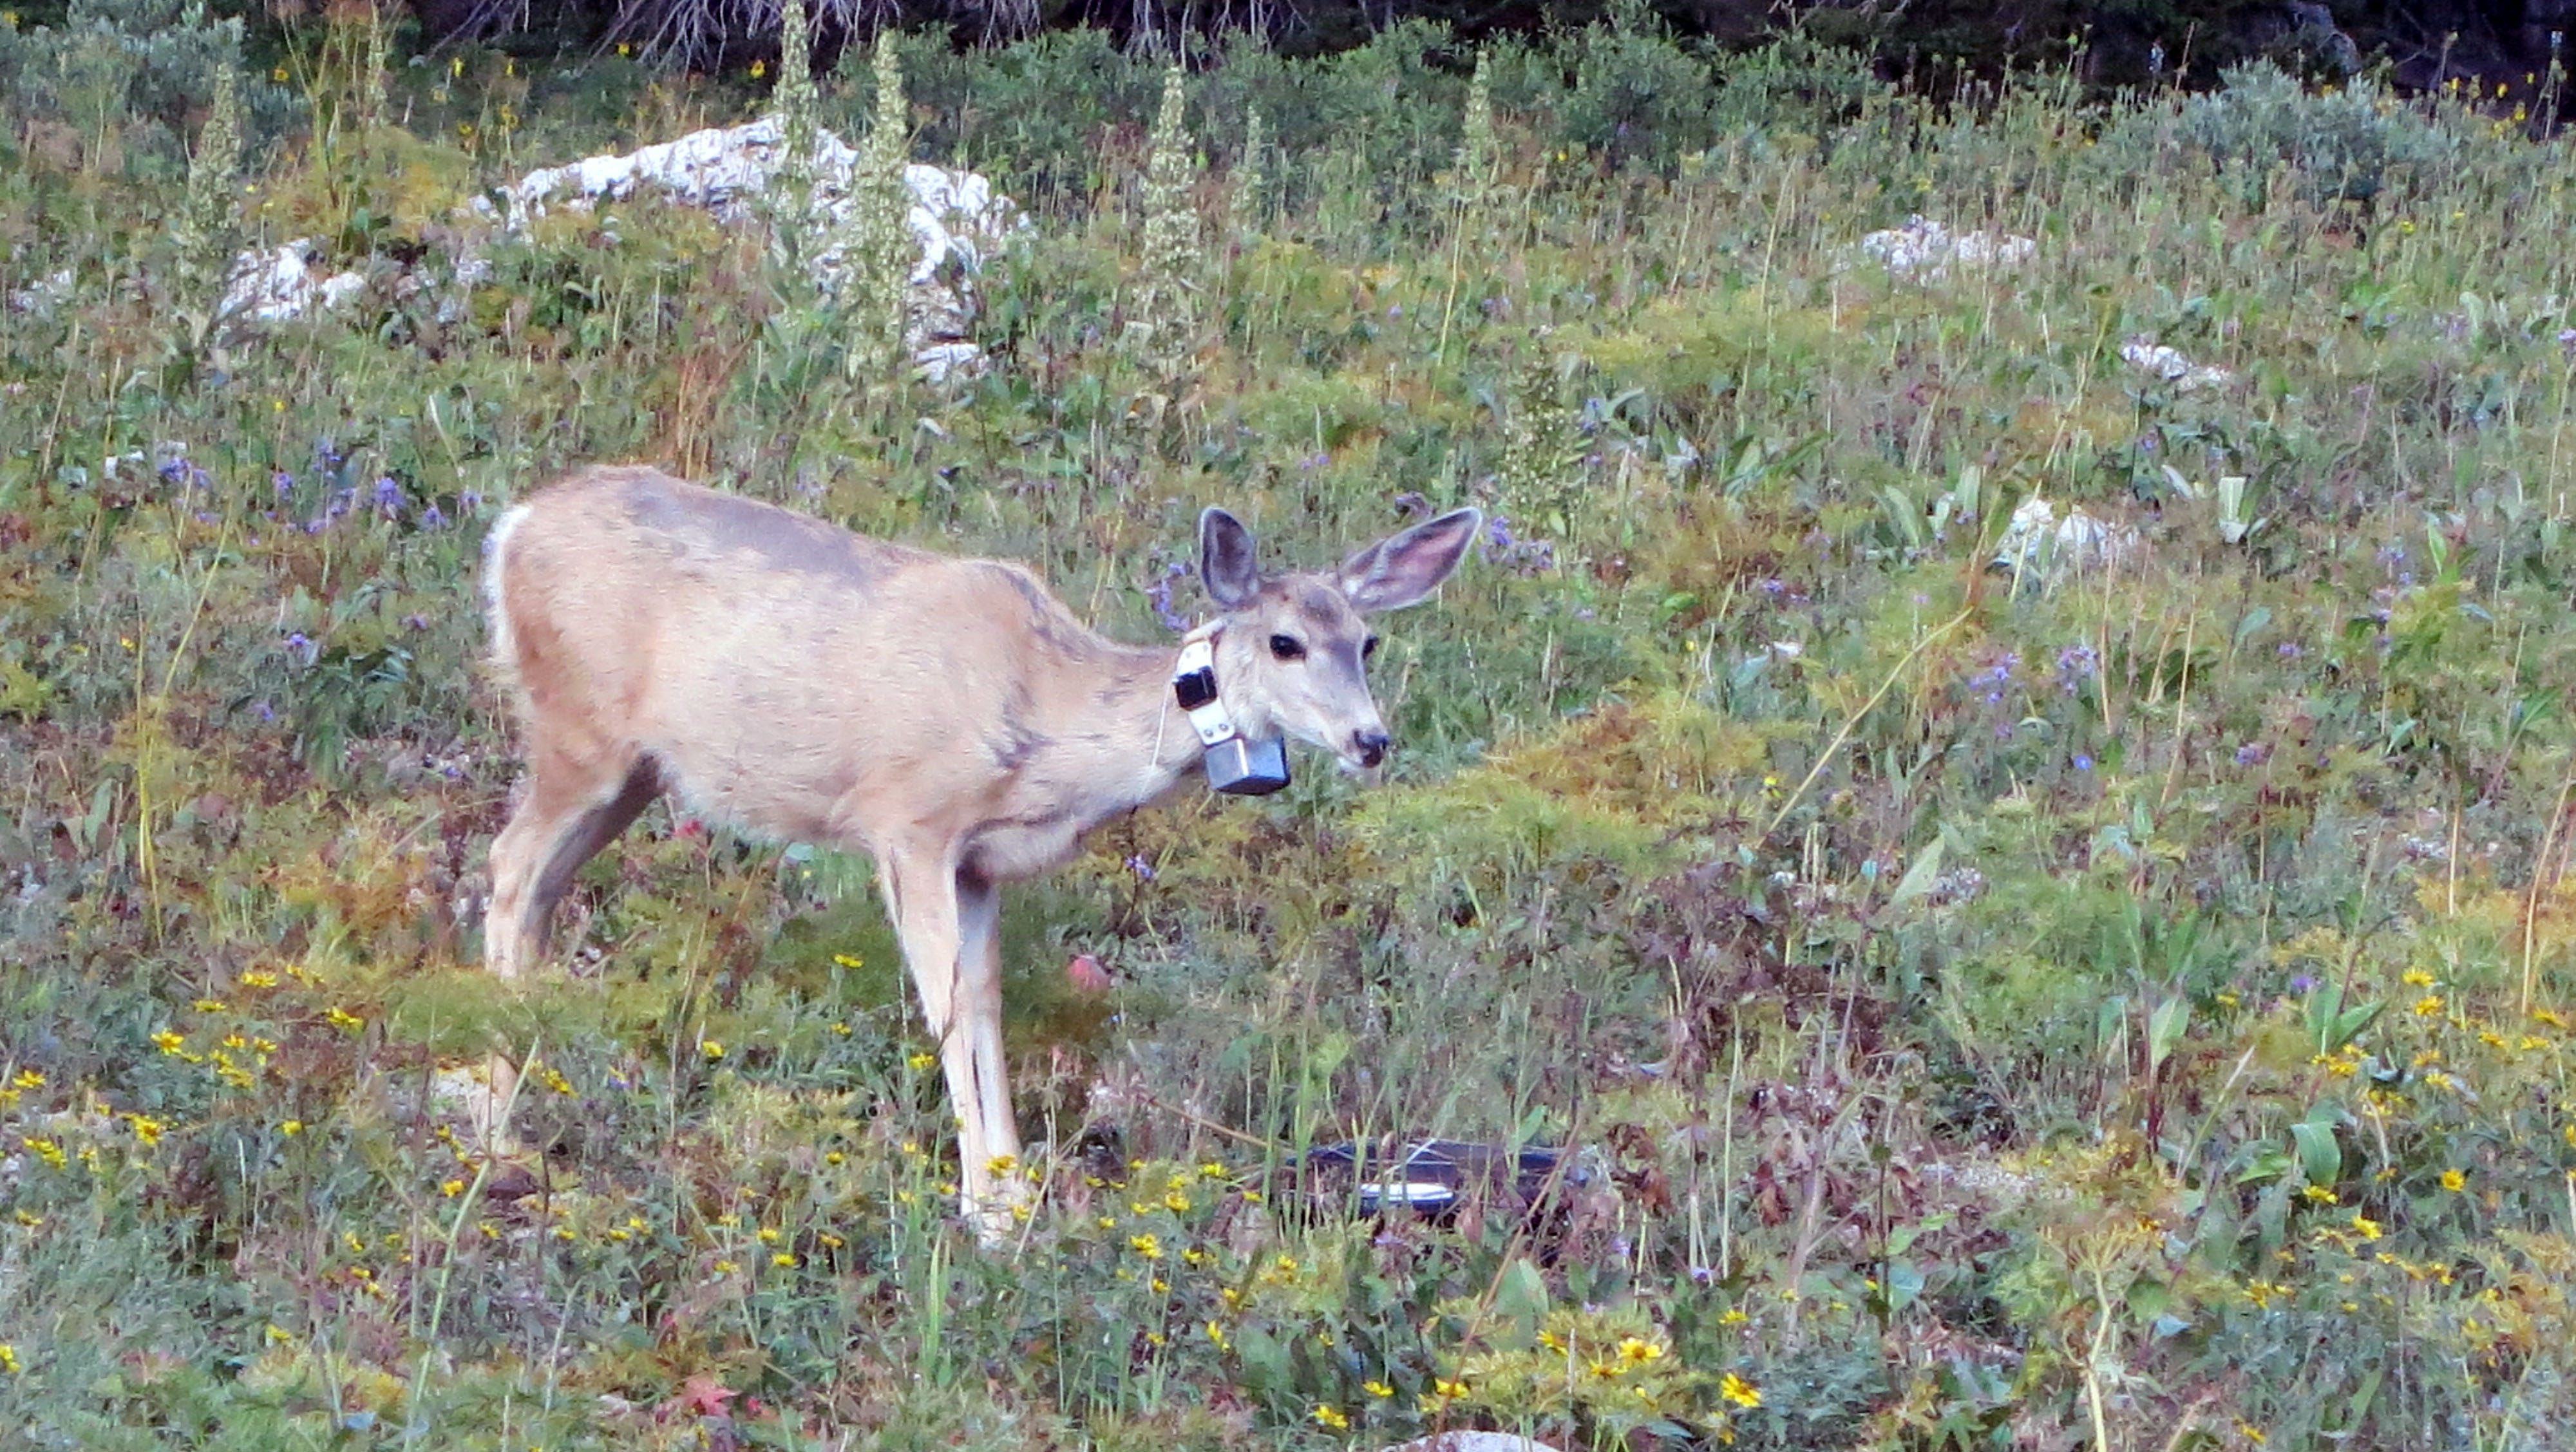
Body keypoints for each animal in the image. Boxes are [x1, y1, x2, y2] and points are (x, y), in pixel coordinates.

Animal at [479, 464, 1479, 1235]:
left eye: (1367, 640)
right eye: (1285, 641)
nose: (1370, 741)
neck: (1047, 716)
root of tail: (511, 527)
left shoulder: (979, 863)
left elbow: (988, 1001)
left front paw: (1014, 1195)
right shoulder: (908, 821)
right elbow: (949, 1001)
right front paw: (989, 1215)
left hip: (636, 771)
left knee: (540, 885)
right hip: (578, 729)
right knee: (509, 863)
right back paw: (497, 1127)